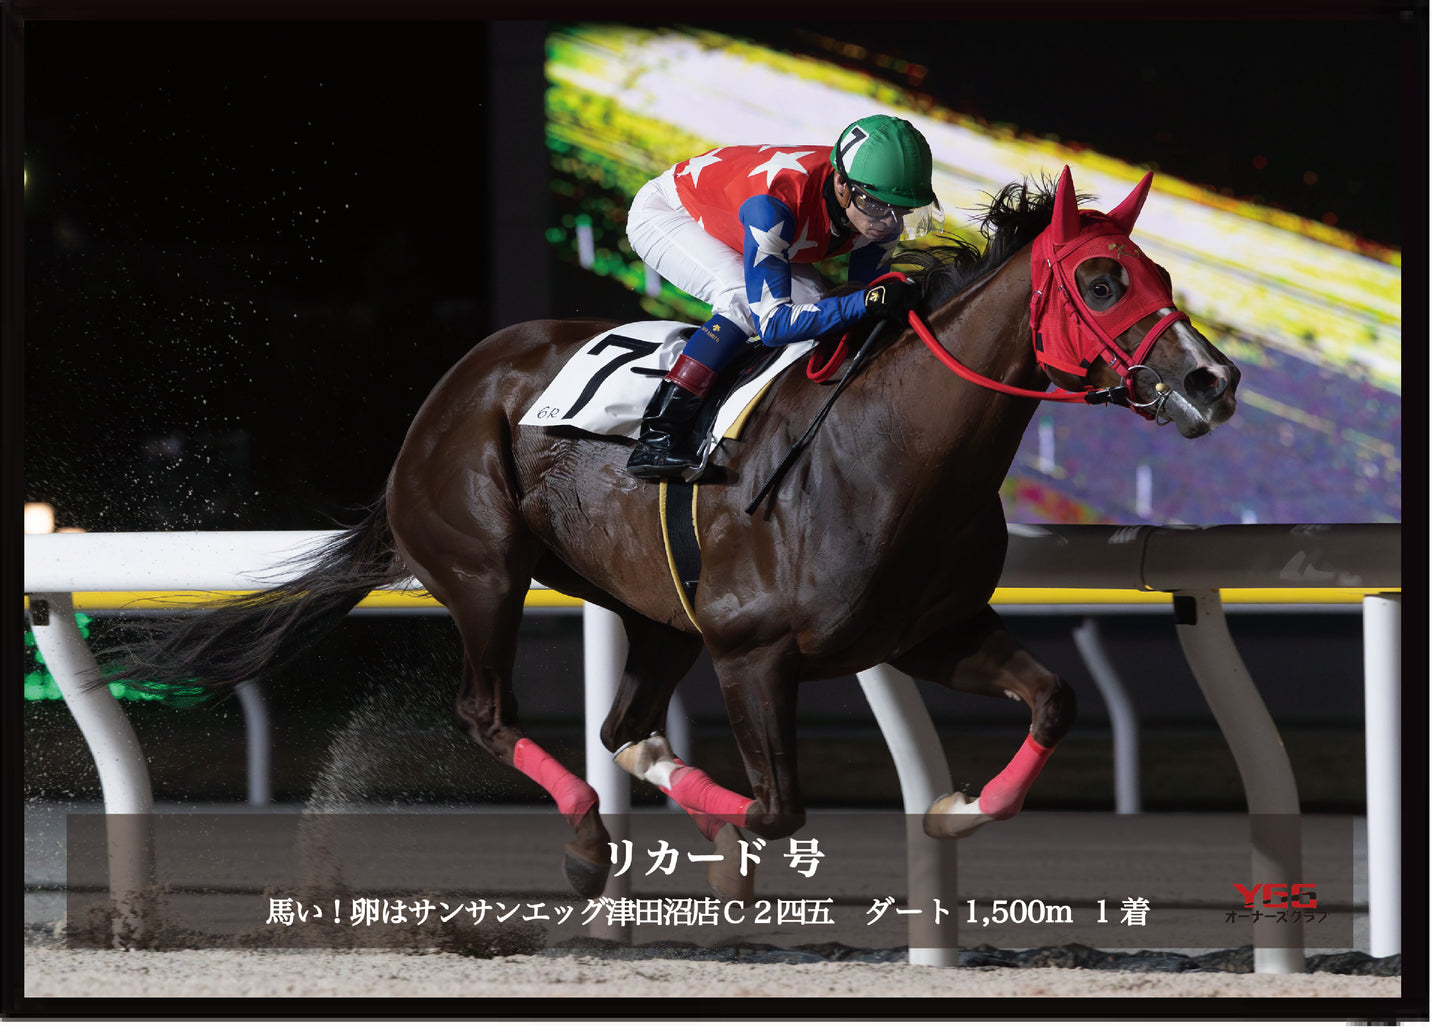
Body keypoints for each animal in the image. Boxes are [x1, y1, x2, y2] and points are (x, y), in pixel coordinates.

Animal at [110, 165, 1239, 901]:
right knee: (490, 712)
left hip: (657, 610)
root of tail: (451, 391)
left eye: (1156, 274)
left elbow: (1054, 700)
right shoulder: (753, 650)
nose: (1212, 379)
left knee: (623, 726)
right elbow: (777, 808)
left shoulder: (926, 631)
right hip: (485, 572)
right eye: (1100, 281)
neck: (890, 449)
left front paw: (954, 808)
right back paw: (587, 842)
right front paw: (730, 858)